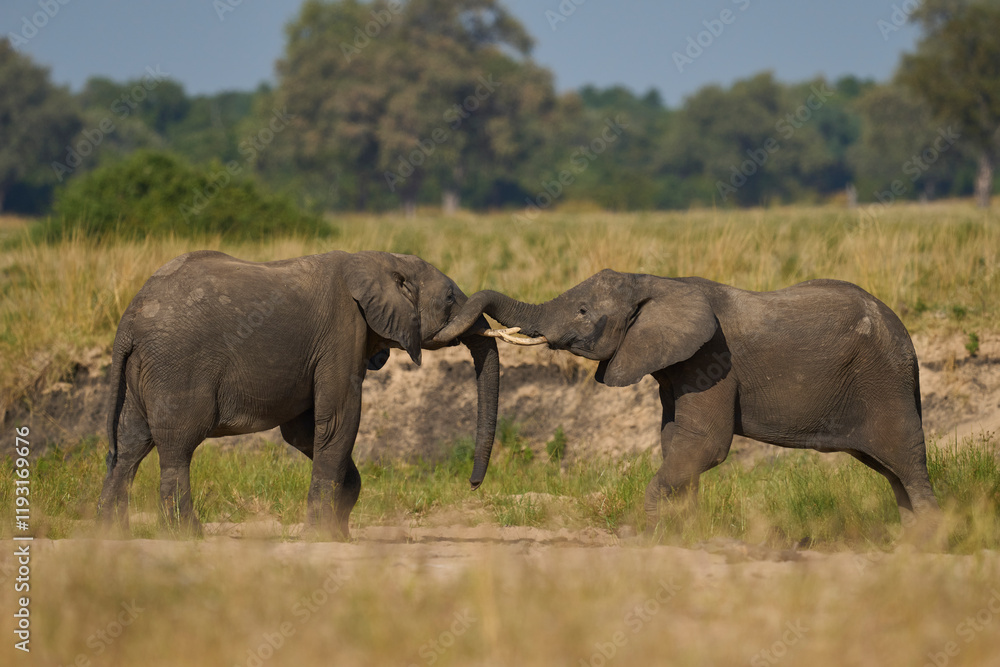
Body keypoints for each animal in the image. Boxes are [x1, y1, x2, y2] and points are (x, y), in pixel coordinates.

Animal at [97, 250, 499, 538]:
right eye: (450, 298)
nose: (473, 484)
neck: (380, 259)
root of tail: (129, 320)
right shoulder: (342, 331)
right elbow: (338, 420)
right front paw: (323, 536)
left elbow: (304, 432)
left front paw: (340, 528)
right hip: (176, 365)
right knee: (177, 446)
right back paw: (187, 535)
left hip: (144, 371)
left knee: (131, 444)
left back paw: (113, 535)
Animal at [436, 269, 940, 533]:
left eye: (582, 311)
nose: (474, 486)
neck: (656, 282)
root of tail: (907, 338)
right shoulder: (676, 367)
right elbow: (675, 440)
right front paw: (686, 529)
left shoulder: (712, 358)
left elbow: (703, 444)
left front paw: (651, 531)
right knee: (891, 470)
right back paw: (908, 541)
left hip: (883, 381)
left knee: (906, 461)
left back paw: (929, 543)